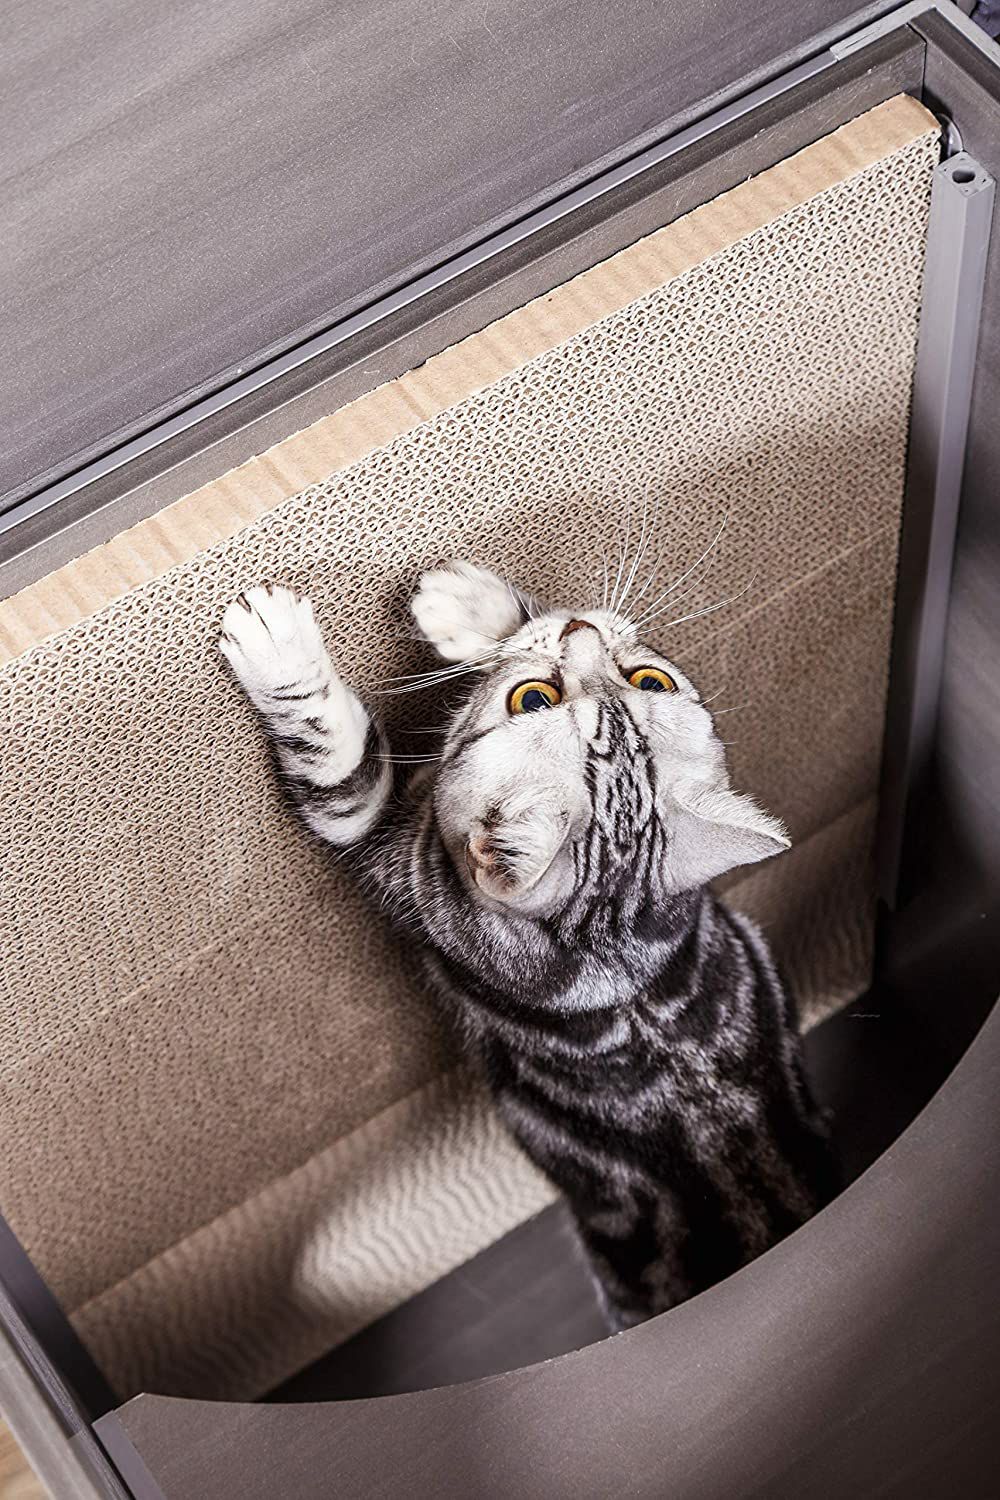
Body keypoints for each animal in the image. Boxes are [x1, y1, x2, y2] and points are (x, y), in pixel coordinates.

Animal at [219, 560, 838, 1329]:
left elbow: (339, 764)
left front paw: (280, 645)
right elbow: (529, 618)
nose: (581, 631)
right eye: (535, 697)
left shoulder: (391, 855)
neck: (608, 934)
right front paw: (473, 603)